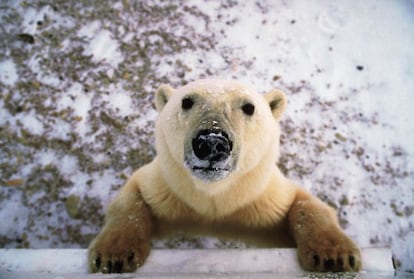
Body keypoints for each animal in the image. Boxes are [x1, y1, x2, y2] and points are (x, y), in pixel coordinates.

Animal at [88, 79, 362, 274]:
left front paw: (333, 256)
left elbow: (304, 204)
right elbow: (132, 200)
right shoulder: (168, 189)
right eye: (186, 101)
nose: (211, 142)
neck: (214, 195)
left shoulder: (260, 198)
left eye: (249, 107)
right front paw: (114, 255)